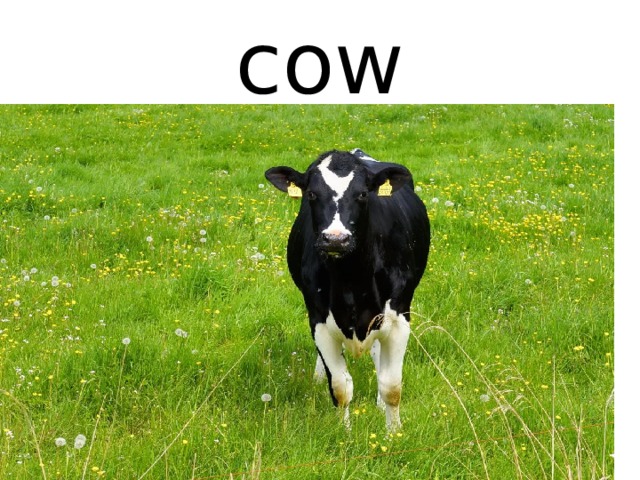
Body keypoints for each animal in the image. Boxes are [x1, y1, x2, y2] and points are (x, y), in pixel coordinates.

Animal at [265, 148, 430, 431]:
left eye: (363, 194)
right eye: (311, 194)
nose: (336, 239)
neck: (351, 280)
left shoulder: (398, 319)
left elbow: (391, 386)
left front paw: (394, 432)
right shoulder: (319, 320)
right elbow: (340, 387)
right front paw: (345, 432)